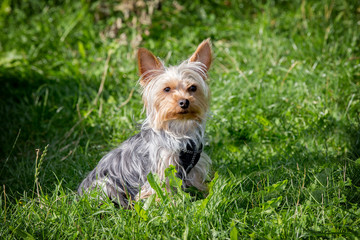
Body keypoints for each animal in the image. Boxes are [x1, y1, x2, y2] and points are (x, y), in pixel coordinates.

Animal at [77, 38, 212, 207]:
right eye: (167, 89)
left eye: (193, 88)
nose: (184, 102)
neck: (179, 129)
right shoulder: (160, 169)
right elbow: (162, 190)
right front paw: (171, 204)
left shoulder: (195, 168)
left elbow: (197, 183)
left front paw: (205, 194)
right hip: (104, 184)